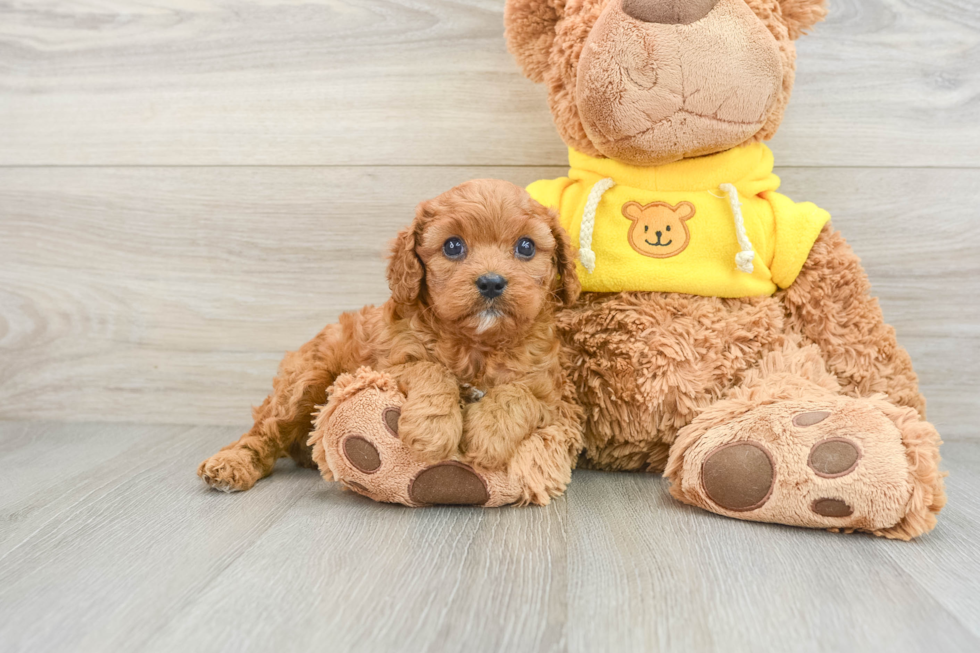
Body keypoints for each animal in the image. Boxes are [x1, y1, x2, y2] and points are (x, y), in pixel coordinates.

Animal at [198, 176, 580, 502]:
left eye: (526, 246)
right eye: (453, 246)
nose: (491, 282)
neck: (476, 343)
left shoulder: (550, 392)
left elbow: (518, 394)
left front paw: (489, 434)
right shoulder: (388, 364)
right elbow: (430, 369)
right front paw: (432, 430)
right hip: (305, 380)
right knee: (264, 431)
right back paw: (230, 465)